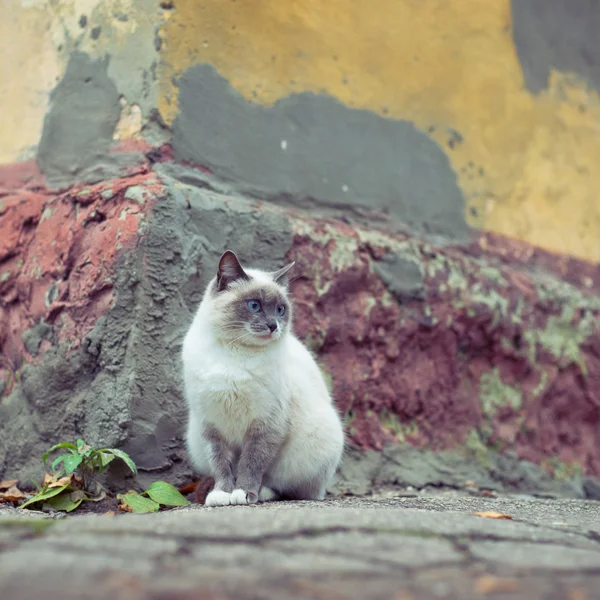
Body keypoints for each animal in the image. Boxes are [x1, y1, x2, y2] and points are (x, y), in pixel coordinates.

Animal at [180, 248, 344, 506]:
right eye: (254, 305)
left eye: (280, 310)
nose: (273, 325)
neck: (235, 353)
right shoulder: (212, 425)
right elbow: (221, 465)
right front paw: (221, 494)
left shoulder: (266, 425)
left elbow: (251, 464)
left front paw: (243, 494)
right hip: (194, 436)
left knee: (290, 489)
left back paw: (262, 493)